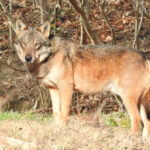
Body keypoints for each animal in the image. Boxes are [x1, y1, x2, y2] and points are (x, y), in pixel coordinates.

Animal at [14, 19, 150, 139]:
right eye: (23, 44)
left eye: (37, 45)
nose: (28, 58)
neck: (50, 57)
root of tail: (144, 56)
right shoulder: (53, 89)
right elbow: (56, 113)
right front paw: (57, 131)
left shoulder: (66, 88)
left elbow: (64, 113)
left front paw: (64, 132)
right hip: (140, 101)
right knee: (146, 121)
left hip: (128, 98)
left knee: (137, 119)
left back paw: (130, 138)